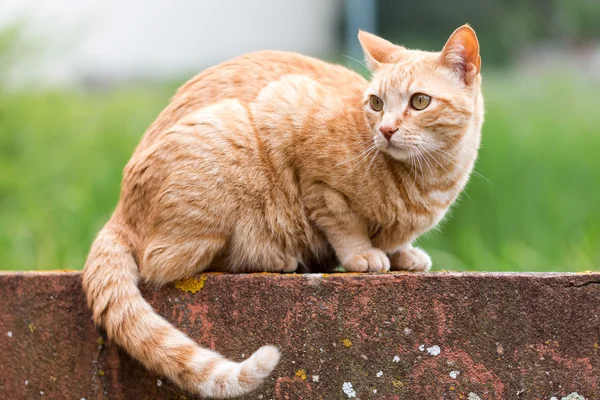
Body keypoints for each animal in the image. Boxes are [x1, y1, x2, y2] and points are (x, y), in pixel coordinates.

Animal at [82, 24, 482, 396]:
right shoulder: (308, 155)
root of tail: (119, 211)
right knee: (169, 261)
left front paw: (403, 254)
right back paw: (275, 258)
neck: (430, 178)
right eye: (376, 103)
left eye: (419, 102)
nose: (385, 130)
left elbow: (395, 241)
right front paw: (363, 255)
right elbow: (344, 224)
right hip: (225, 147)